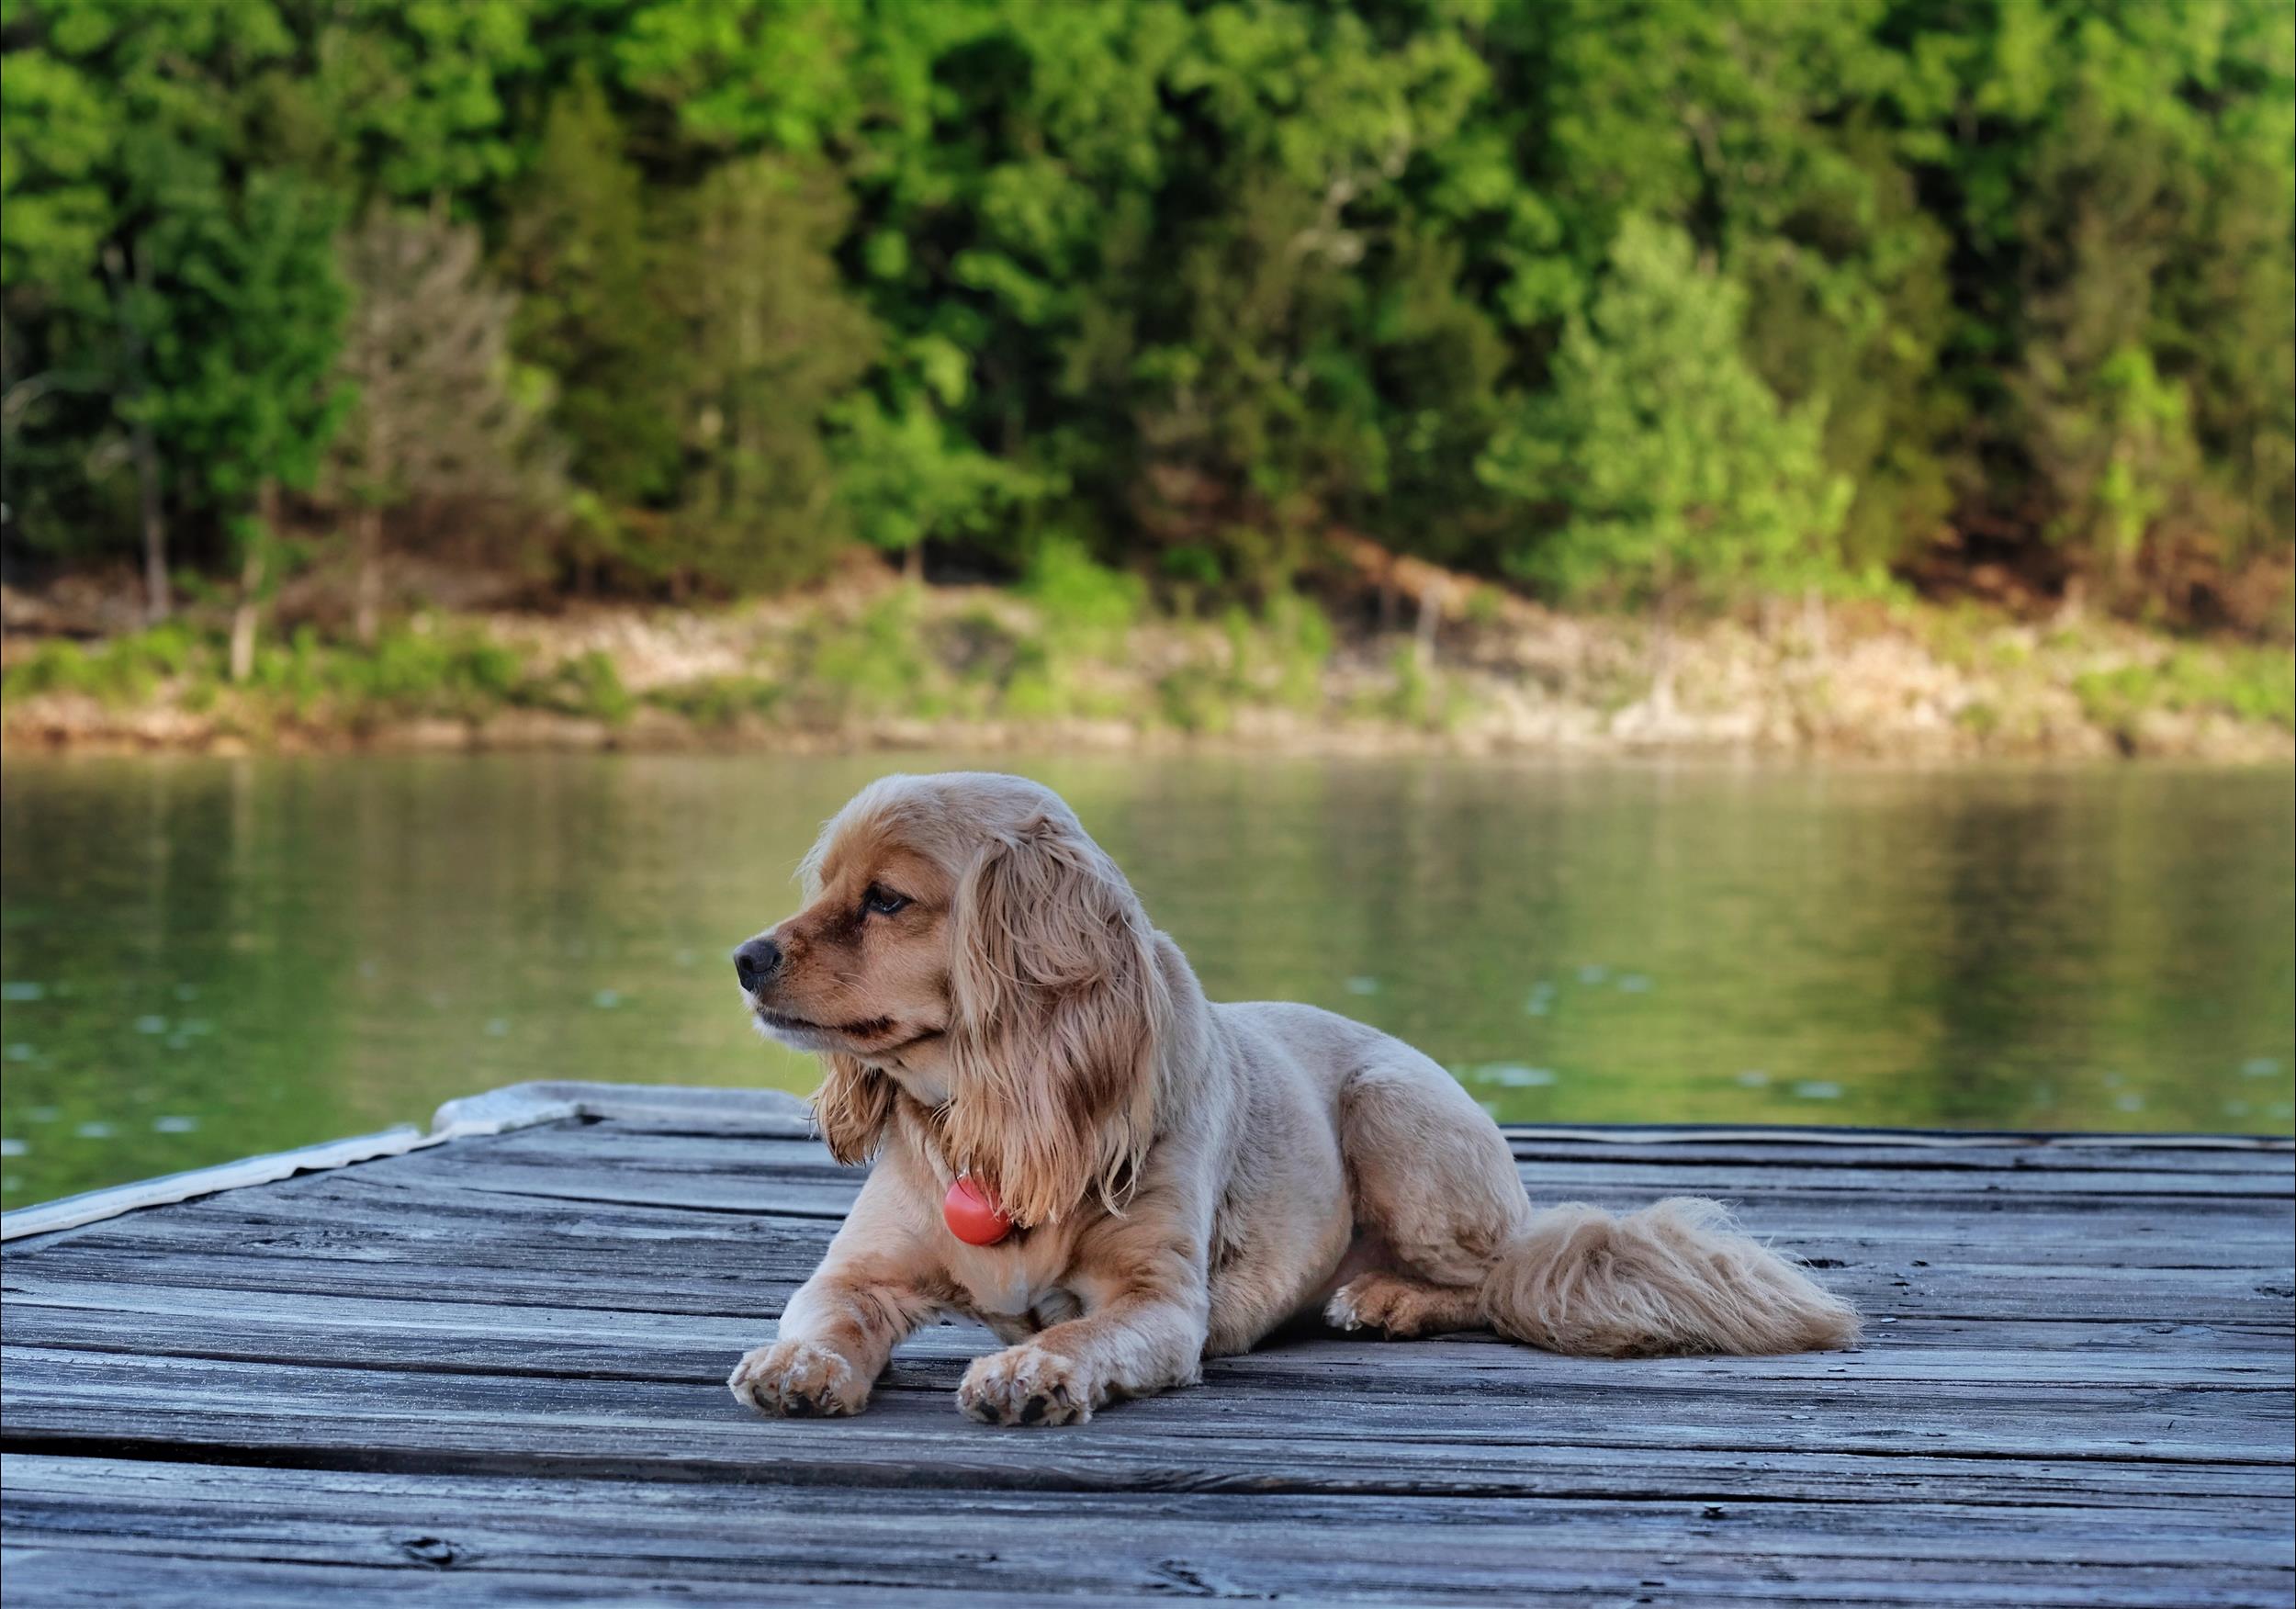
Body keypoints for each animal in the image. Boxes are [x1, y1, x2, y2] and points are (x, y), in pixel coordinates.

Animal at [726, 771, 1855, 1423]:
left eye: (886, 901)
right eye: (822, 886)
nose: (745, 957)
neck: (1001, 1116)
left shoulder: (1157, 1304)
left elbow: (1077, 1333)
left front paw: (1030, 1372)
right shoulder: (857, 1273)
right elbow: (829, 1319)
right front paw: (799, 1363)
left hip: (1395, 1114)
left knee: (1495, 1278)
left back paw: (1389, 1299)